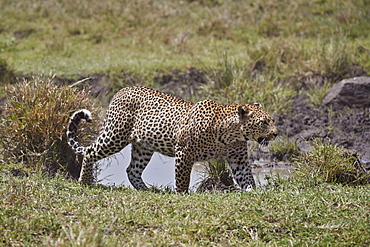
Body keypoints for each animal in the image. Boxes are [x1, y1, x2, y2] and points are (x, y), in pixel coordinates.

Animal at [66, 86, 278, 192]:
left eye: (272, 121)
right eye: (264, 123)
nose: (275, 133)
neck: (231, 133)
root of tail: (120, 91)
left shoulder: (238, 158)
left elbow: (247, 177)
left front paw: (253, 192)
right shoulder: (184, 152)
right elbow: (183, 178)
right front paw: (182, 194)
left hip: (144, 147)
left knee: (132, 170)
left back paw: (148, 190)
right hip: (115, 135)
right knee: (90, 152)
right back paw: (84, 181)